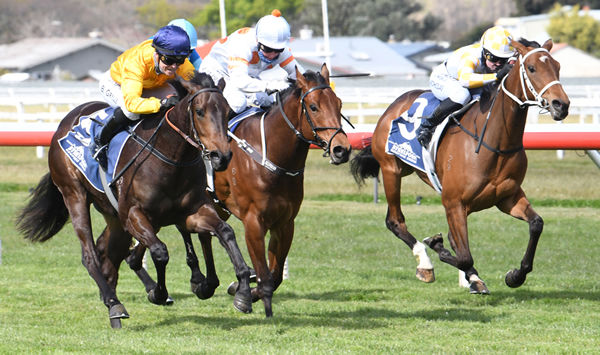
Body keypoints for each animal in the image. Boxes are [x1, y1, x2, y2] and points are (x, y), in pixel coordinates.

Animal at [15, 72, 252, 328]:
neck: (171, 159)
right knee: (90, 255)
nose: (222, 156)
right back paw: (114, 303)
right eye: (199, 111)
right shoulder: (133, 215)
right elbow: (160, 251)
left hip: (113, 215)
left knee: (109, 254)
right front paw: (159, 293)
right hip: (74, 195)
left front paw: (242, 291)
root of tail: (64, 123)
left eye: (228, 112)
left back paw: (112, 304)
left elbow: (225, 232)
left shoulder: (192, 213)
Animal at [350, 39, 568, 294]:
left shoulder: (507, 197)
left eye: (557, 66)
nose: (561, 105)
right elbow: (463, 256)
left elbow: (536, 224)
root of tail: (393, 105)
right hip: (391, 170)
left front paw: (515, 275)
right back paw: (426, 264)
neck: (493, 142)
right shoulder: (453, 202)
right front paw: (436, 245)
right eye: (532, 68)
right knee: (395, 221)